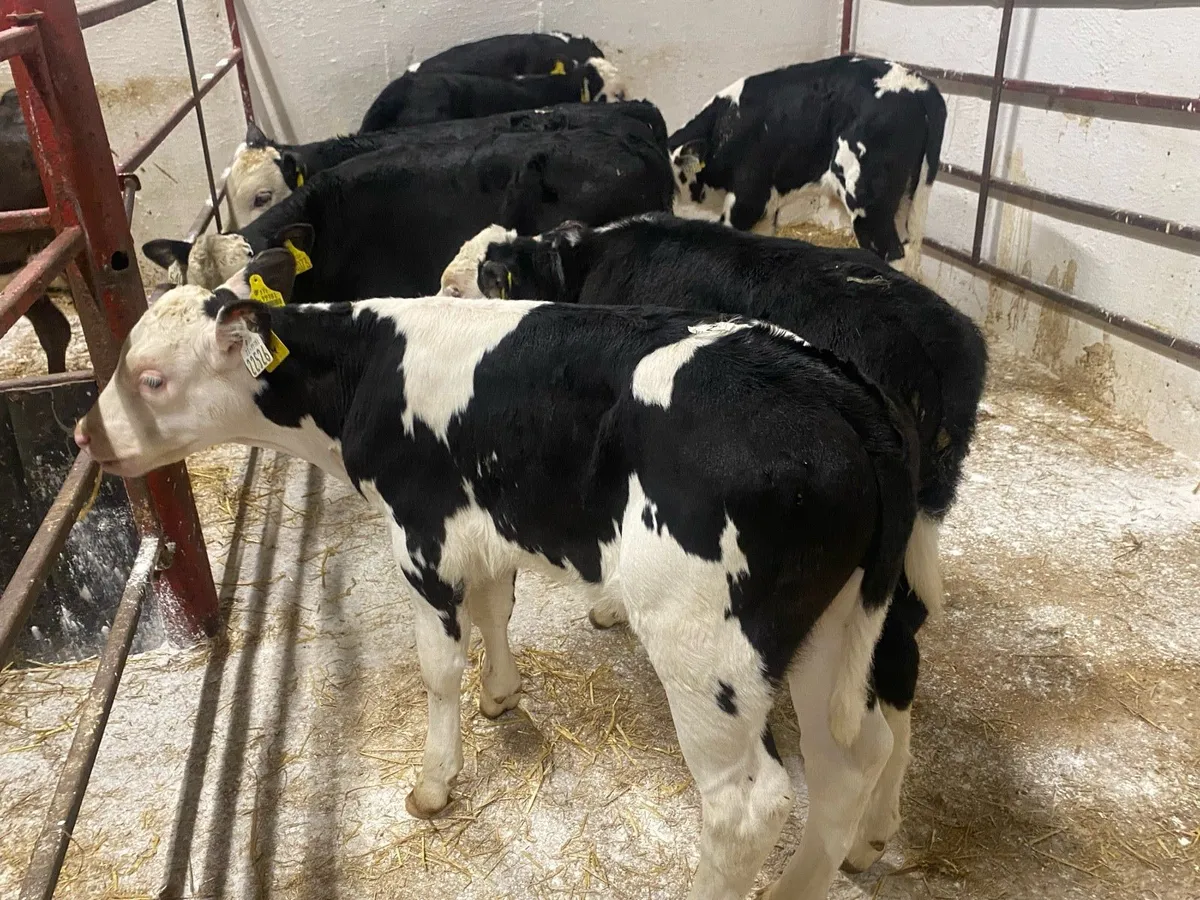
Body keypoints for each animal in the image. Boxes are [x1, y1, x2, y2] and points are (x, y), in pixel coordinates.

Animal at [75, 247, 921, 900]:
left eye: (150, 378)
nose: (86, 434)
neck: (368, 370)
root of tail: (829, 386)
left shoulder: (421, 536)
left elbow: (439, 665)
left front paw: (435, 780)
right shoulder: (480, 528)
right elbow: (492, 611)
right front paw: (503, 694)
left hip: (706, 646)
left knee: (748, 808)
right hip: (834, 625)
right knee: (852, 757)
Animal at [448, 212, 989, 867]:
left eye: (465, 287)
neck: (583, 265)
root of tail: (937, 335)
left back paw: (864, 834)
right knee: (901, 659)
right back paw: (878, 828)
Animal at [668, 55, 946, 274]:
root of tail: (918, 85)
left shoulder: (747, 199)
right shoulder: (766, 206)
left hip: (868, 204)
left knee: (893, 255)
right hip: (906, 200)